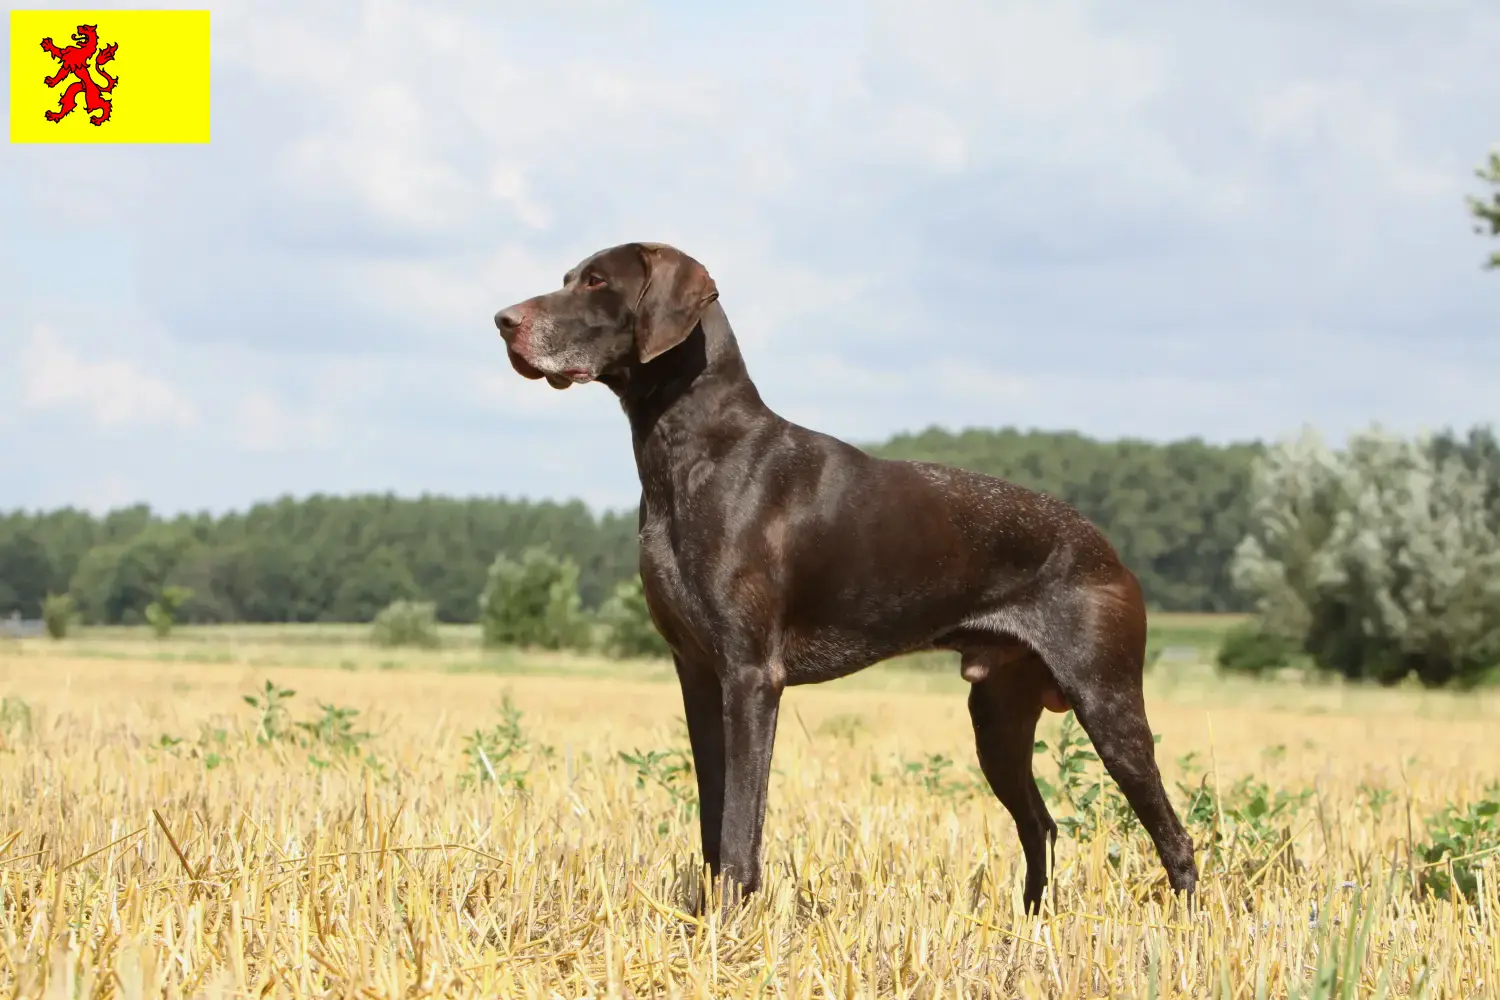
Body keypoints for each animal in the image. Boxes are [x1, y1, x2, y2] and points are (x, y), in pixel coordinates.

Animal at [498, 244, 1200, 917]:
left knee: (1174, 835)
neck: (689, 453)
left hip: (1107, 703)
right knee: (1042, 826)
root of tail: (1107, 548)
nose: (503, 320)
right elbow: (712, 817)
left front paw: (730, 922)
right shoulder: (697, 673)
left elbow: (740, 825)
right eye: (568, 276)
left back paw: (1186, 929)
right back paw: (1029, 926)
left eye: (597, 282)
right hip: (998, 717)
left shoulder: (751, 677)